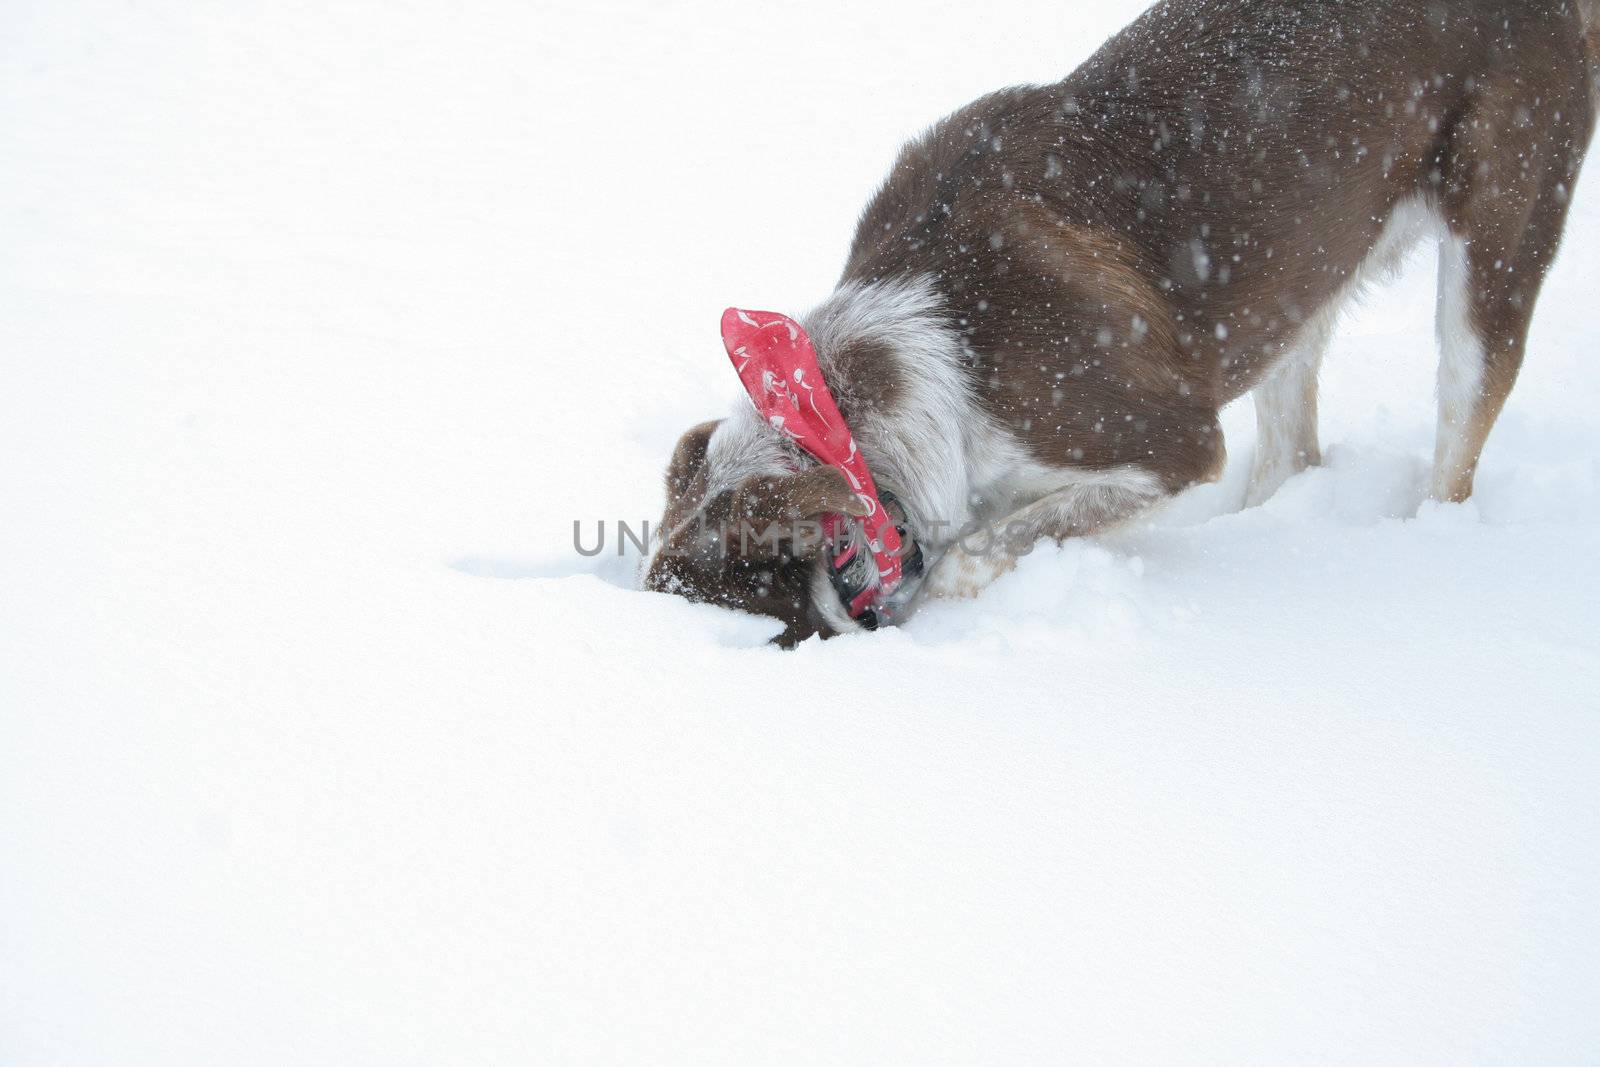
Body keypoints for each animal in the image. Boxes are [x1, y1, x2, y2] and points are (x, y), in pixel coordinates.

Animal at [646, 0, 1600, 643]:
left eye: (756, 617)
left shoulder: (1167, 440)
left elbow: (972, 556)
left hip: (1493, 253)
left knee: (1458, 436)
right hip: (1300, 286)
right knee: (1294, 451)